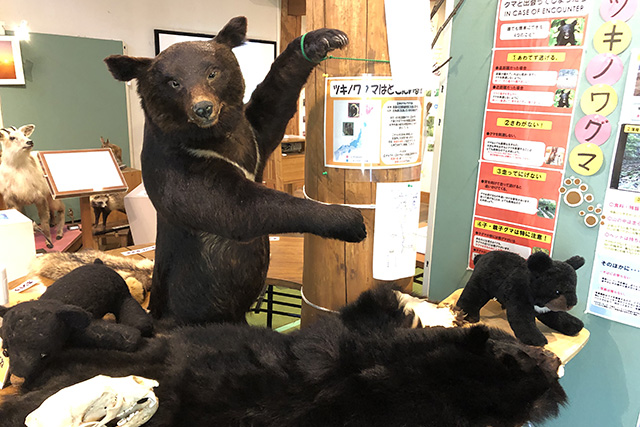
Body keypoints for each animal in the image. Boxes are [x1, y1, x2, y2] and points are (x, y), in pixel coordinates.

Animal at [105, 15, 364, 324]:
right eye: (174, 82)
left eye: (212, 73)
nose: (203, 108)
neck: (212, 138)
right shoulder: (177, 166)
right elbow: (233, 206)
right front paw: (349, 219)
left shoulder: (252, 139)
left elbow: (273, 103)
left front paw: (323, 38)